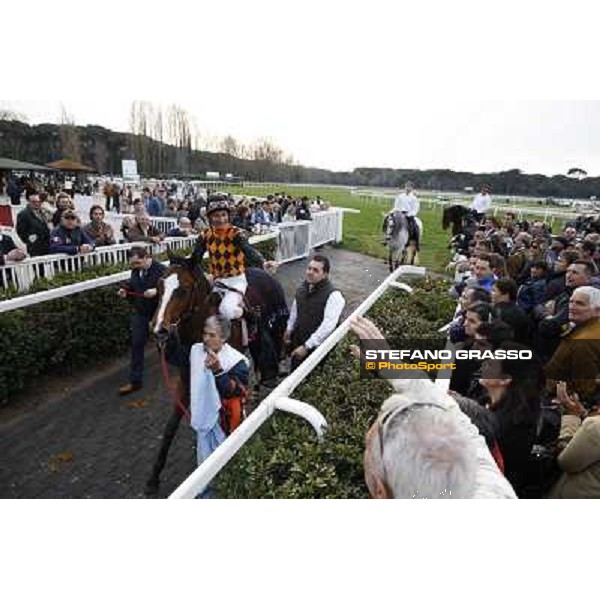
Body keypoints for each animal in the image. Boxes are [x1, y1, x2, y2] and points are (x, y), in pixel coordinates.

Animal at [144, 255, 288, 494]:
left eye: (183, 290)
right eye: (159, 286)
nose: (158, 330)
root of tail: (266, 271)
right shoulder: (186, 377)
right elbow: (170, 426)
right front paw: (153, 478)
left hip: (276, 329)